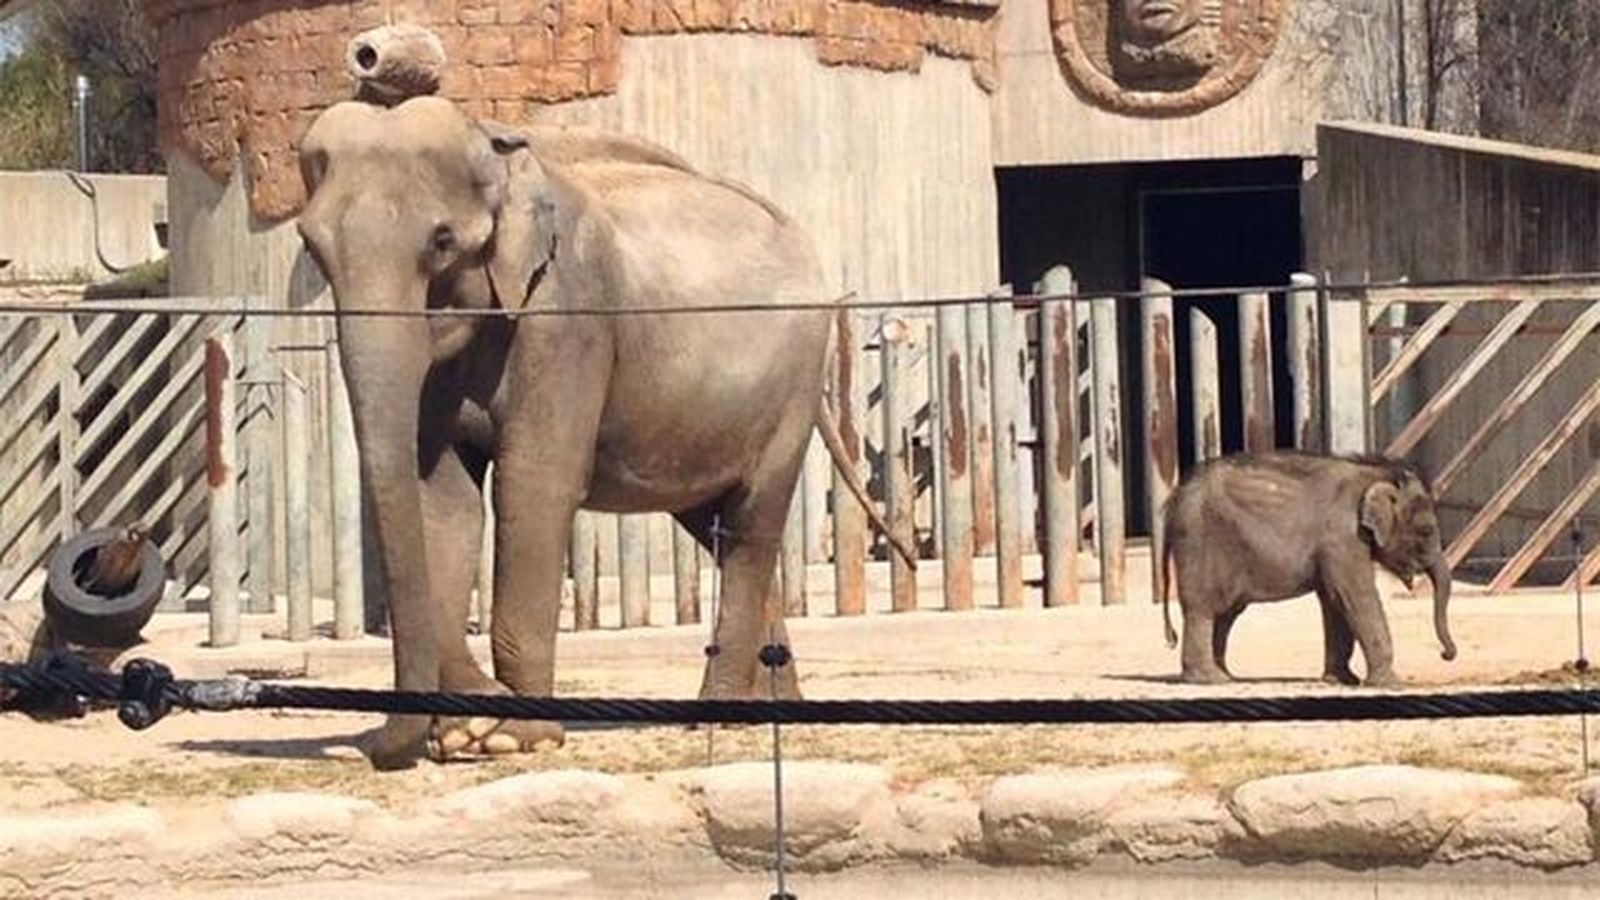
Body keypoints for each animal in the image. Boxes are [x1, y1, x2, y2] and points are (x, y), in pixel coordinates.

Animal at [295, 95, 913, 770]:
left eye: (441, 241)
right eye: (312, 246)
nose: (380, 746)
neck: (497, 147)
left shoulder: (567, 316)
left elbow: (533, 487)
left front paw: (511, 735)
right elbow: (444, 501)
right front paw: (461, 735)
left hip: (792, 384)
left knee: (751, 524)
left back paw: (720, 716)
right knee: (714, 527)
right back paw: (778, 709)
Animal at [1158, 450, 1457, 686]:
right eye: (1426, 531)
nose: (1445, 655)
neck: (1374, 473)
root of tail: (1172, 501)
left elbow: (1335, 601)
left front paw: (1342, 680)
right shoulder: (1343, 537)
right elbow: (1355, 597)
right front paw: (1392, 684)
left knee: (1225, 613)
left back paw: (1225, 676)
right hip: (1198, 544)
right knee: (1203, 609)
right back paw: (1209, 679)